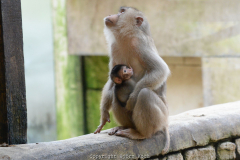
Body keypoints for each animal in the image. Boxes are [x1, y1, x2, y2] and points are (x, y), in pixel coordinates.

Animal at [94, 6, 171, 155]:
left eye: (122, 12)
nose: (111, 14)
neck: (126, 37)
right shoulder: (114, 47)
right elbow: (112, 80)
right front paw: (104, 113)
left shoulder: (140, 43)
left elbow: (160, 70)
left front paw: (132, 99)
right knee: (115, 91)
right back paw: (124, 127)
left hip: (162, 116)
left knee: (145, 94)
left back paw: (141, 134)